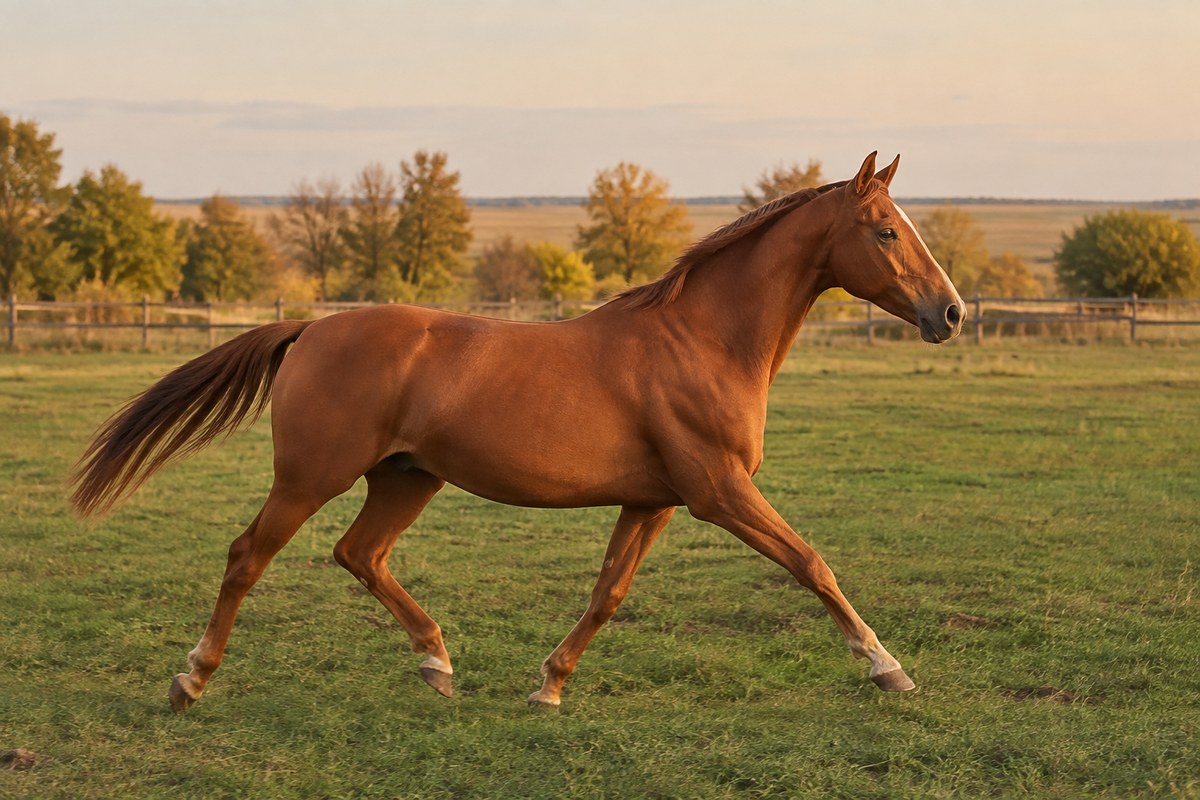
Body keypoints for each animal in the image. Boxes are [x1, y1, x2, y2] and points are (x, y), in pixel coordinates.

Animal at [72, 152, 964, 712]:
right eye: (886, 229)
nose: (950, 312)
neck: (702, 341)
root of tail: (311, 329)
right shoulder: (719, 491)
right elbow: (812, 564)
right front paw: (889, 669)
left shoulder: (655, 502)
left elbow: (607, 595)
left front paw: (549, 685)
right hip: (309, 478)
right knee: (247, 557)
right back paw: (190, 681)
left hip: (407, 477)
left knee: (359, 555)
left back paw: (436, 662)